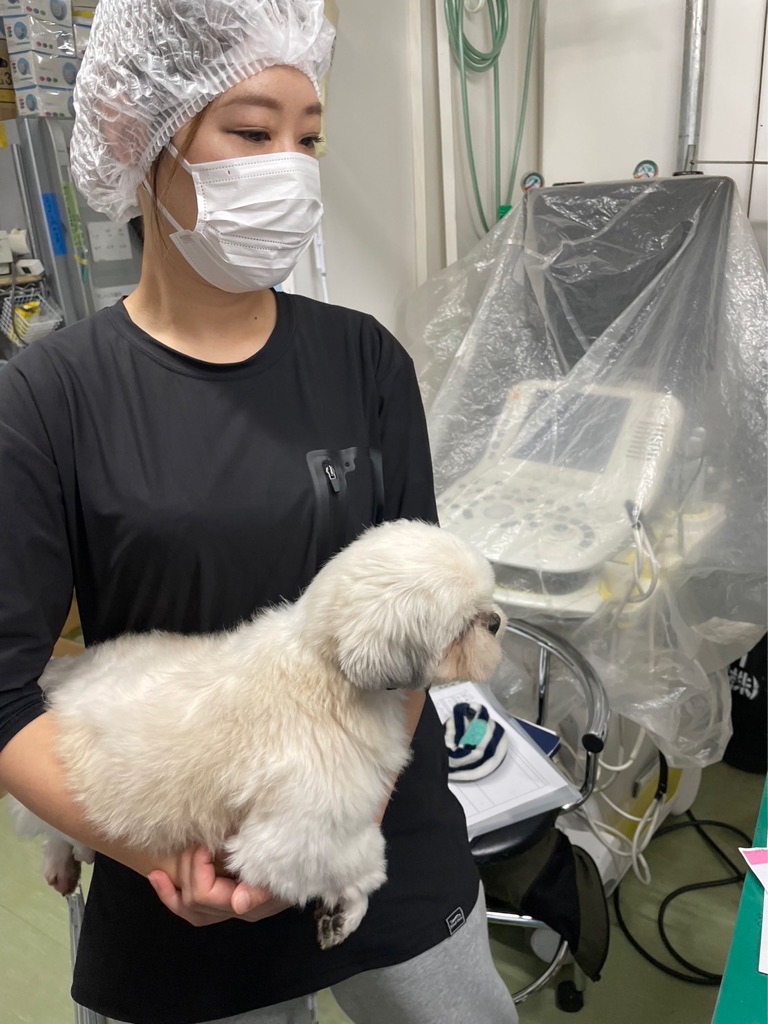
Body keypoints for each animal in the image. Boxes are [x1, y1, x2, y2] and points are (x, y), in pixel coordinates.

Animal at [10, 519, 505, 948]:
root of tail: (65, 670)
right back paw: (62, 860)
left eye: (487, 608)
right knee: (41, 820)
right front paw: (348, 912)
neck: (327, 670)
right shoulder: (297, 841)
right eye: (463, 629)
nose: (496, 621)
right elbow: (366, 866)